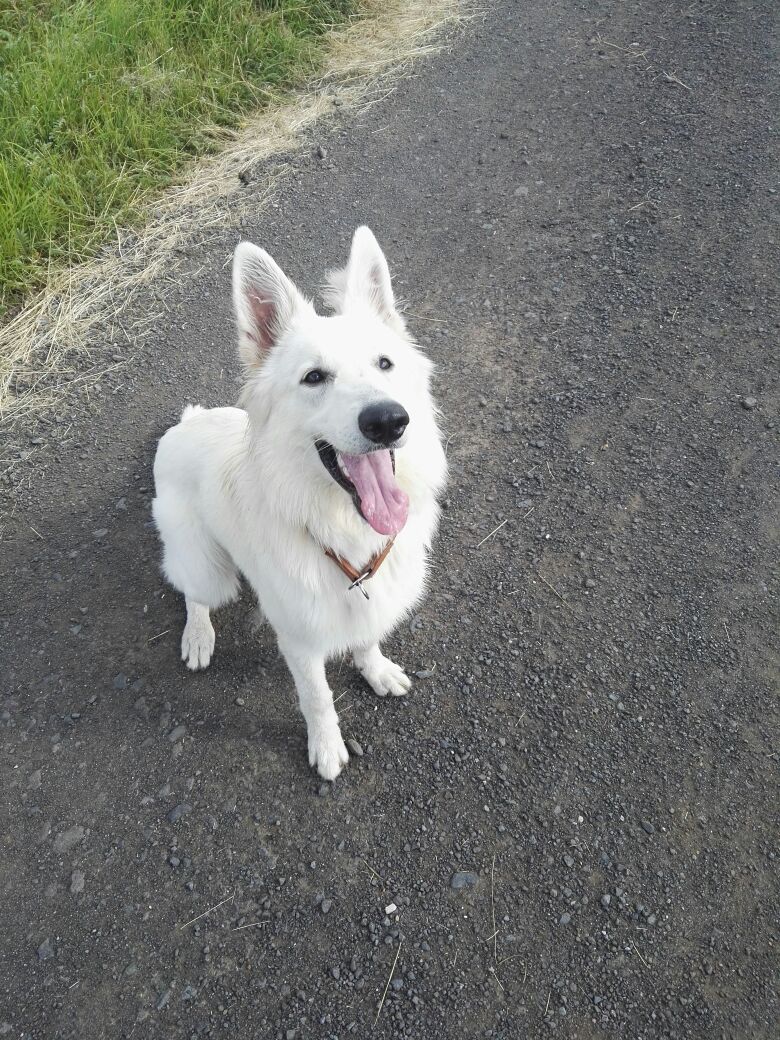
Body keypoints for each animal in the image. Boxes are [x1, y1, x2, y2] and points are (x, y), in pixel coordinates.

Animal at [152, 227, 447, 779]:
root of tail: (183, 427)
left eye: (385, 363)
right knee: (192, 593)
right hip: (206, 568)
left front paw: (376, 670)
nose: (388, 420)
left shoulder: (365, 603)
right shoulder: (300, 640)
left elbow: (367, 640)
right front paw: (327, 748)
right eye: (314, 377)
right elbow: (318, 698)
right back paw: (198, 635)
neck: (341, 529)